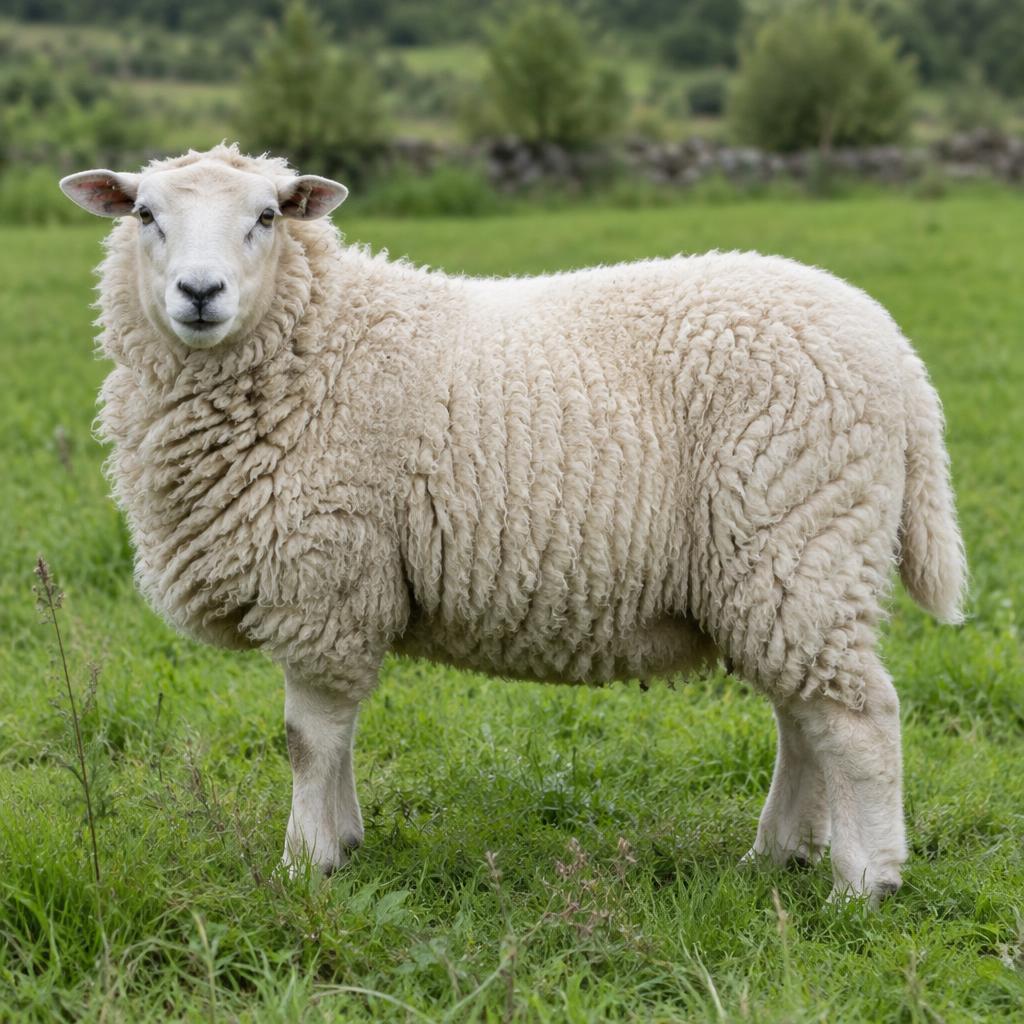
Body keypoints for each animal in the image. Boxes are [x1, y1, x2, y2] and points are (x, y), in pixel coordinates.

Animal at [60, 144, 966, 904]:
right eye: (145, 215)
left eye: (267, 217)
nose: (199, 294)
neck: (316, 339)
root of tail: (898, 355)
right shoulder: (344, 590)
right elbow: (337, 739)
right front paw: (345, 842)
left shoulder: (325, 579)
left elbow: (307, 739)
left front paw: (303, 865)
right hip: (774, 565)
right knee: (802, 714)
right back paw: (776, 855)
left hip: (800, 534)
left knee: (857, 717)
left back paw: (865, 884)